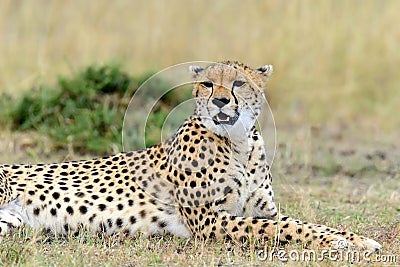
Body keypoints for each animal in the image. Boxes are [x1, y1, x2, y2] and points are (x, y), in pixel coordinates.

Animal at [0, 61, 382, 252]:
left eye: (239, 83)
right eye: (209, 84)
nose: (221, 100)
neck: (239, 143)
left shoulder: (262, 210)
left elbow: (301, 223)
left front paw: (355, 238)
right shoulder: (209, 220)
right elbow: (285, 228)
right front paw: (342, 242)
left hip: (11, 223)